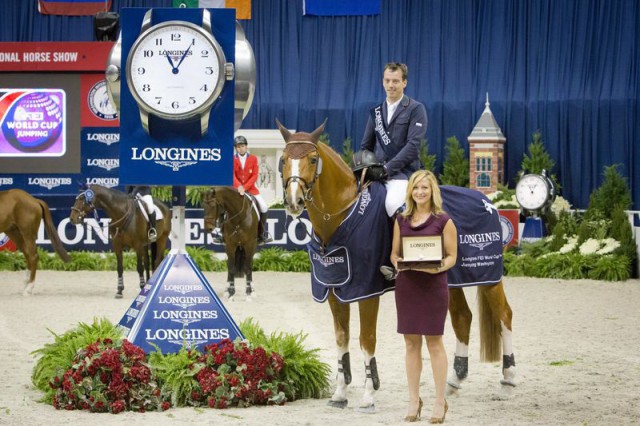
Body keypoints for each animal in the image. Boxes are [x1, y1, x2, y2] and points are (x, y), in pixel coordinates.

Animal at [278, 120, 516, 412]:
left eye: (312, 159)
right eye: (284, 159)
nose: (294, 201)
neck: (341, 217)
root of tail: (488, 202)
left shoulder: (366, 291)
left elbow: (366, 339)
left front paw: (369, 395)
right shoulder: (334, 289)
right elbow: (341, 338)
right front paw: (340, 394)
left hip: (489, 276)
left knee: (504, 315)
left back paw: (508, 380)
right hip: (452, 279)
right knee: (462, 318)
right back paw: (453, 381)